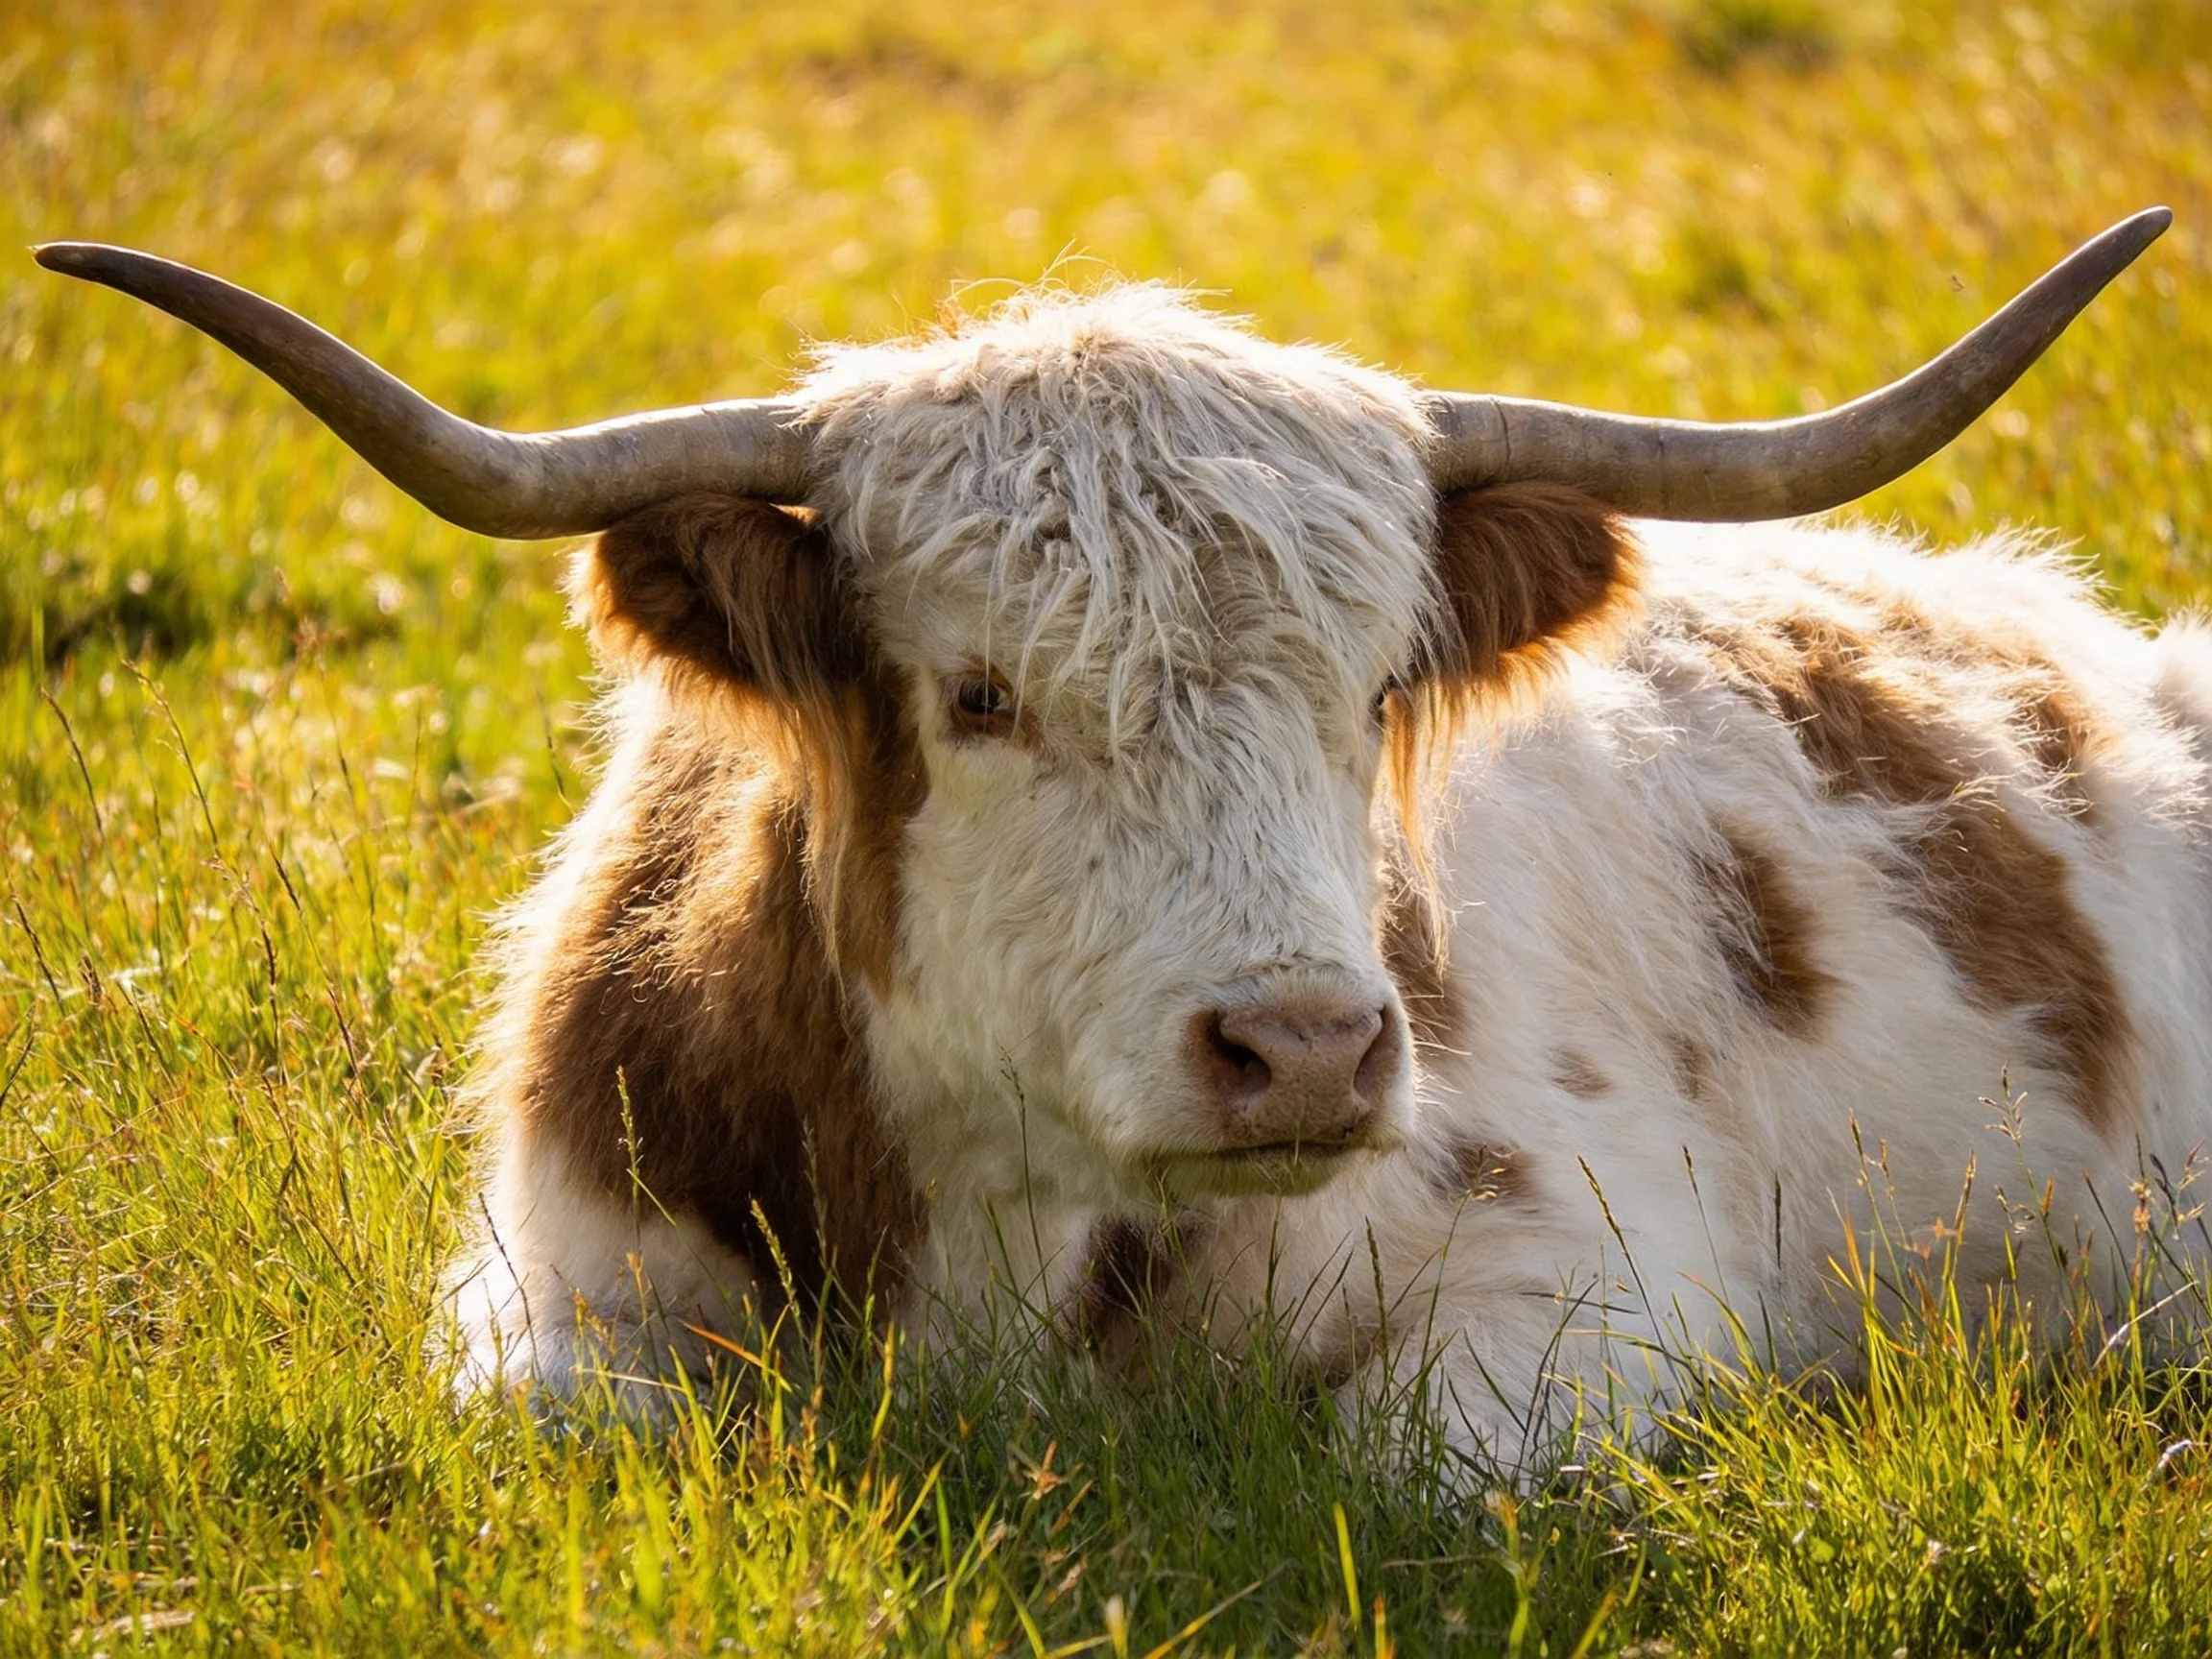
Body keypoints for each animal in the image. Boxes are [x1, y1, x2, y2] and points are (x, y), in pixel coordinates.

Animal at [36, 207, 2209, 1469]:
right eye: (980, 695)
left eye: (1373, 689)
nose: (1306, 1050)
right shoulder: (547, 1282)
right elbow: (565, 1430)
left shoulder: (1598, 1284)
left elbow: (1397, 1468)